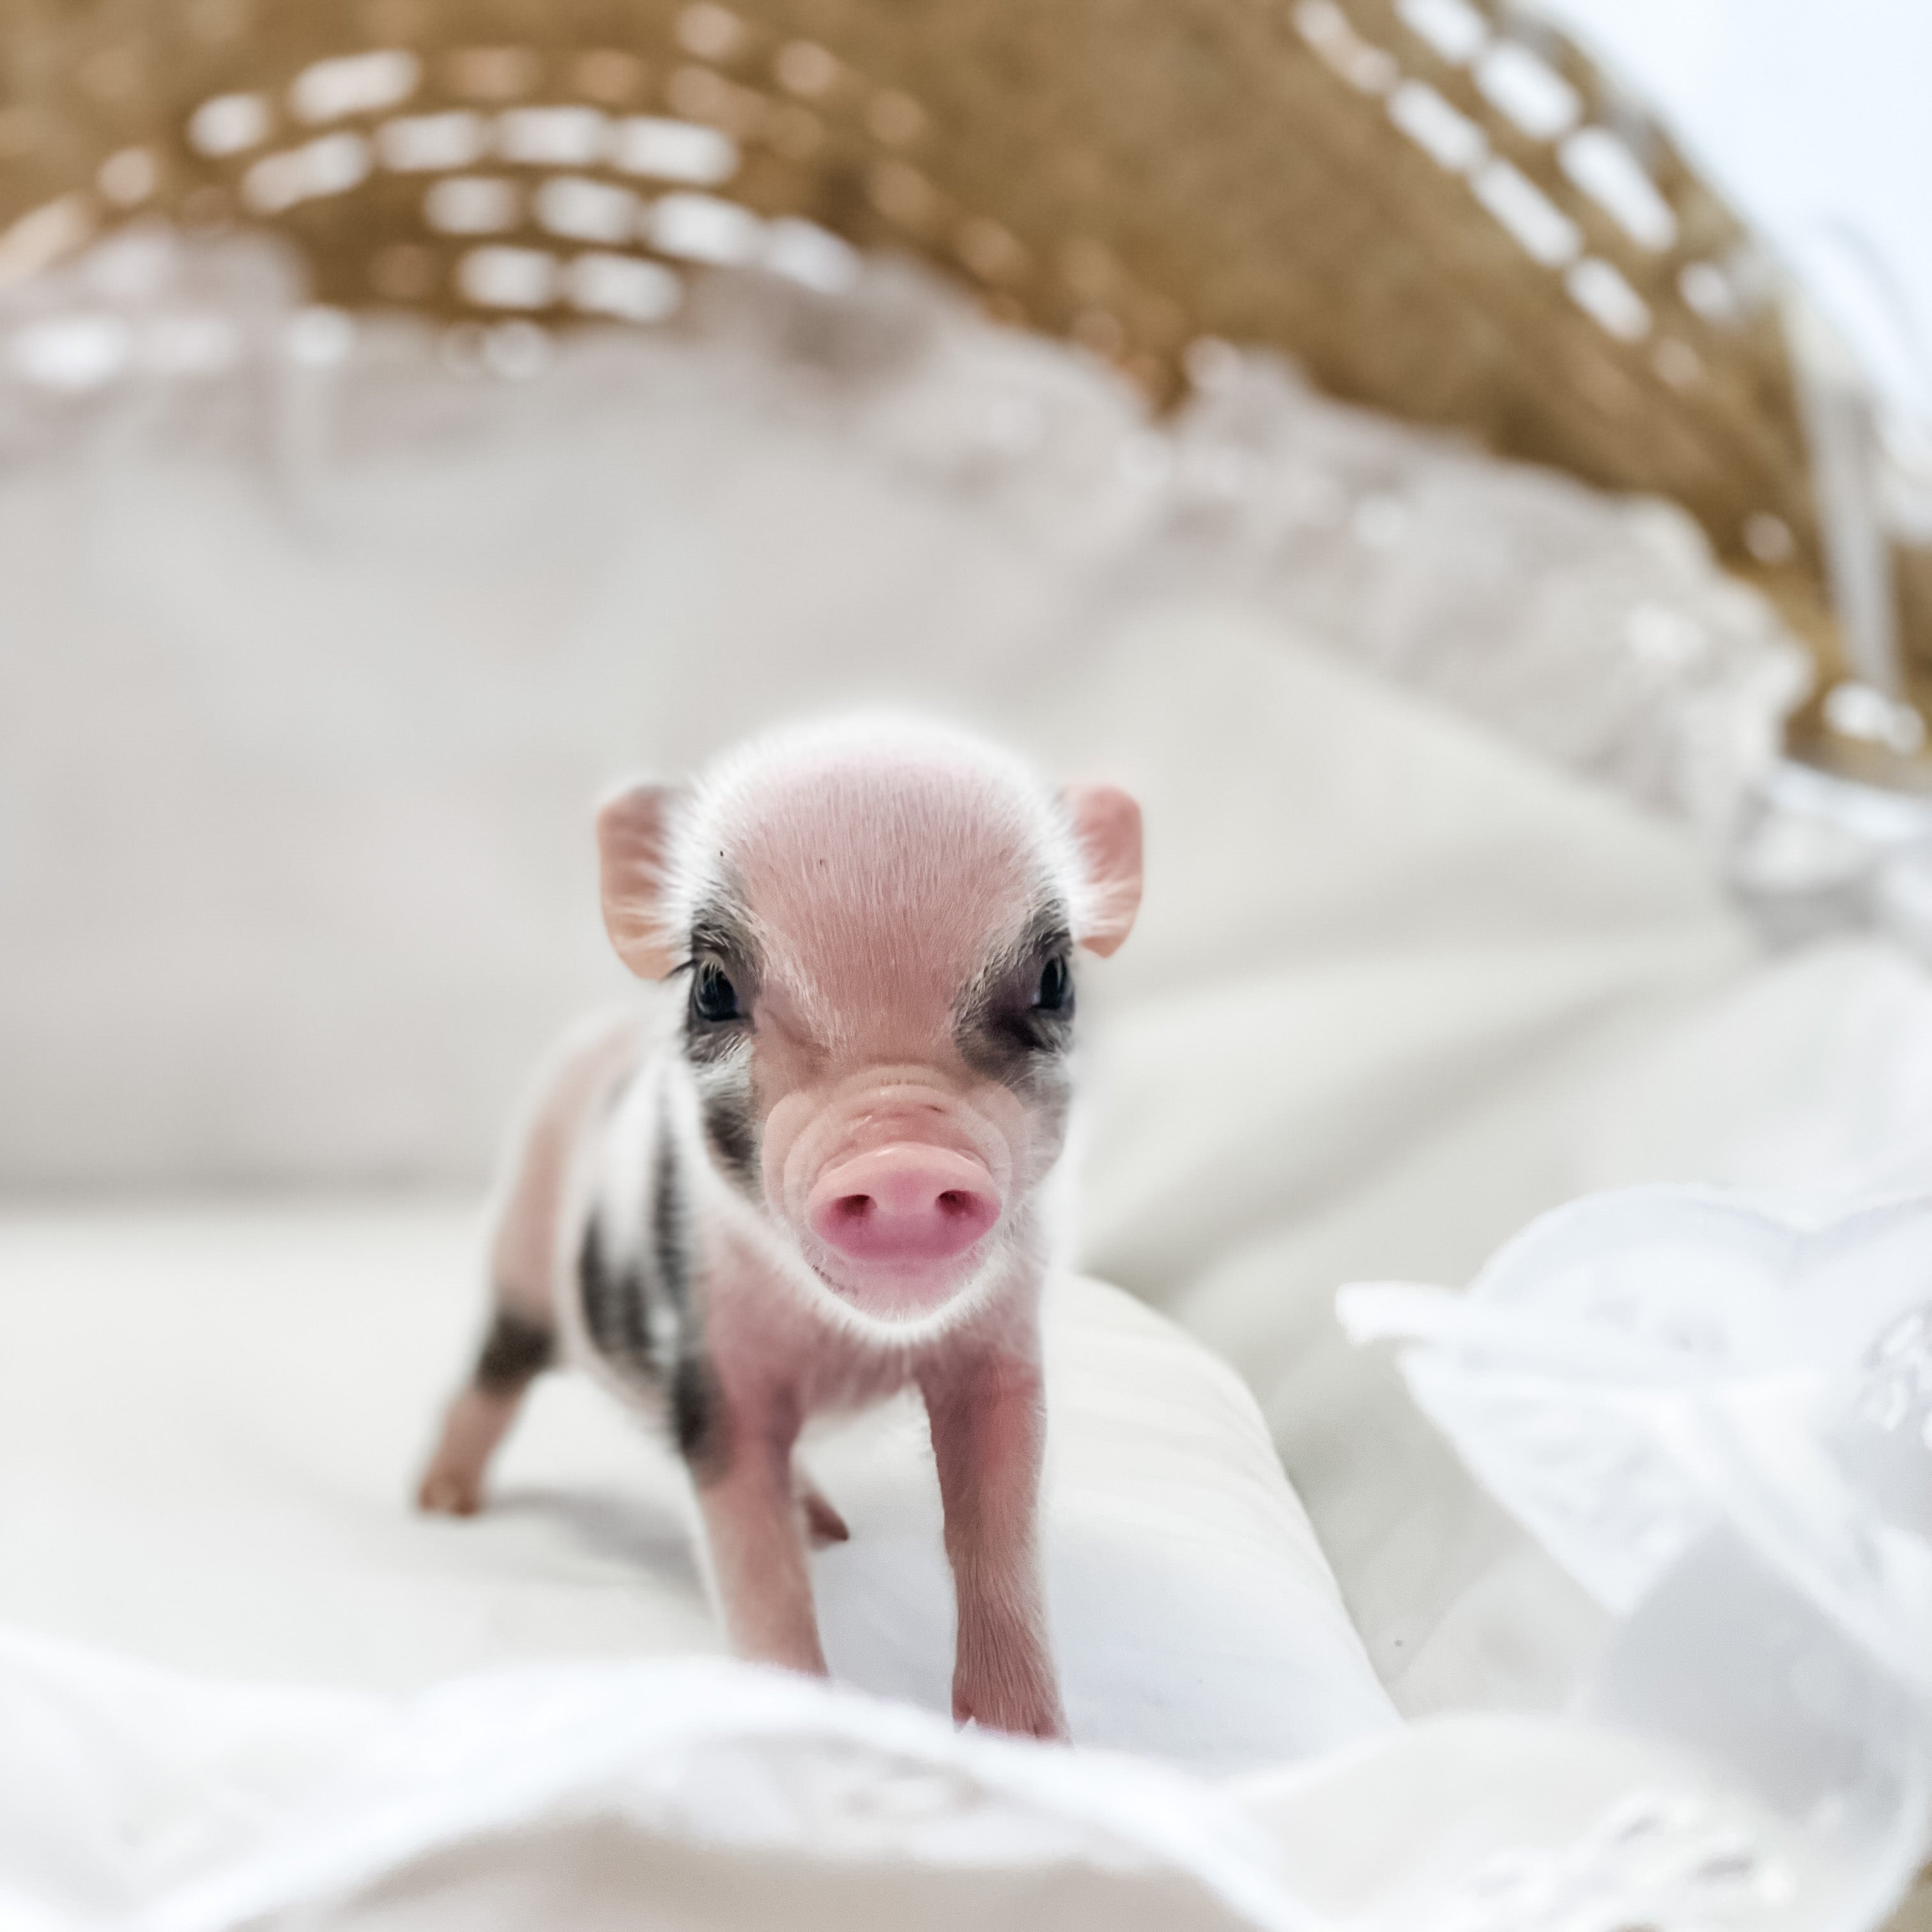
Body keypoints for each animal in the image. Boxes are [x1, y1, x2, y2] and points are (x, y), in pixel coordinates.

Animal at [417, 717, 1142, 1741]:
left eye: (1055, 979)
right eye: (714, 989)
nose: (900, 1161)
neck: (856, 1350)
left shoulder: (1001, 1352)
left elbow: (998, 1534)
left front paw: (1028, 1748)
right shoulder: (716, 1374)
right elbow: (756, 1567)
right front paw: (793, 1727)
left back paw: (829, 1527)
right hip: (523, 1255)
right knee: (492, 1371)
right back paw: (440, 1506)